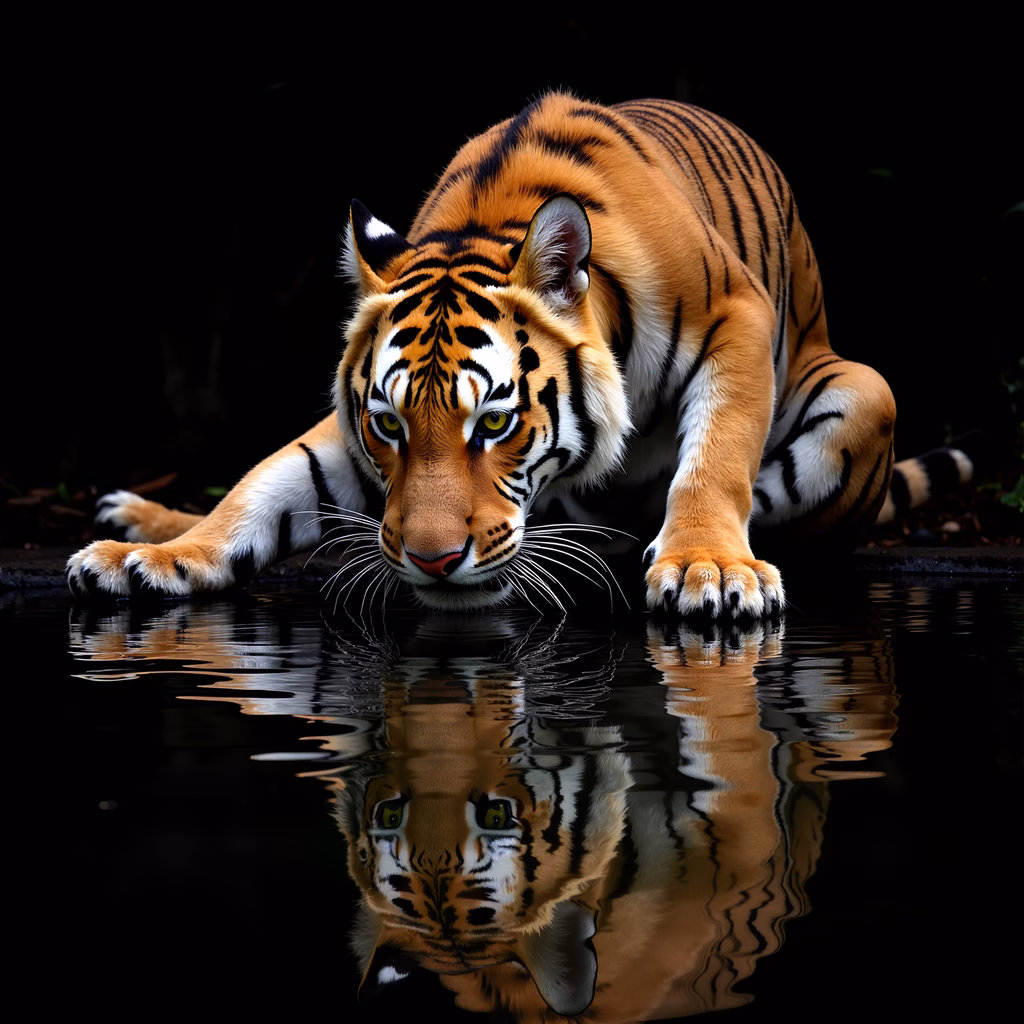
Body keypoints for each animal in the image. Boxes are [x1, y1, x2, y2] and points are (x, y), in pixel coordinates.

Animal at [67, 91, 904, 619]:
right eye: (390, 426)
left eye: (495, 424)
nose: (433, 562)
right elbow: (259, 487)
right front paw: (161, 557)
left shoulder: (737, 315)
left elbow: (717, 457)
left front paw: (710, 568)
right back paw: (140, 519)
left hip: (867, 389)